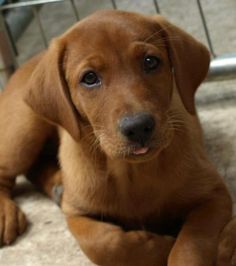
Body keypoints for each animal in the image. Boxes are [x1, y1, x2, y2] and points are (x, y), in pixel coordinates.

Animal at [0, 9, 233, 264]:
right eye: (89, 78)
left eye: (150, 62)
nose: (138, 127)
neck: (130, 172)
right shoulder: (76, 213)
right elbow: (105, 244)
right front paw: (161, 246)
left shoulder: (214, 196)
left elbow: (191, 245)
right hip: (21, 134)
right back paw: (7, 214)